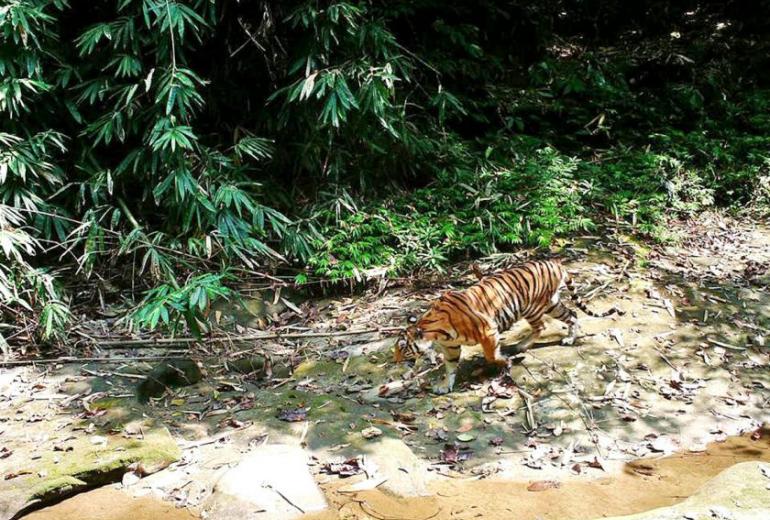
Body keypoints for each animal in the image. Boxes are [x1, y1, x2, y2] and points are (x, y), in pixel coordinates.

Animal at [392, 260, 620, 394]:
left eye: (403, 348)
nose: (396, 362)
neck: (436, 334)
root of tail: (555, 262)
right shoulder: (451, 347)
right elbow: (450, 367)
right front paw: (445, 385)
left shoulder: (488, 331)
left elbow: (491, 354)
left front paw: (506, 361)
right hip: (552, 304)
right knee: (572, 315)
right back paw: (569, 338)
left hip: (533, 307)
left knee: (541, 326)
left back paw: (522, 347)